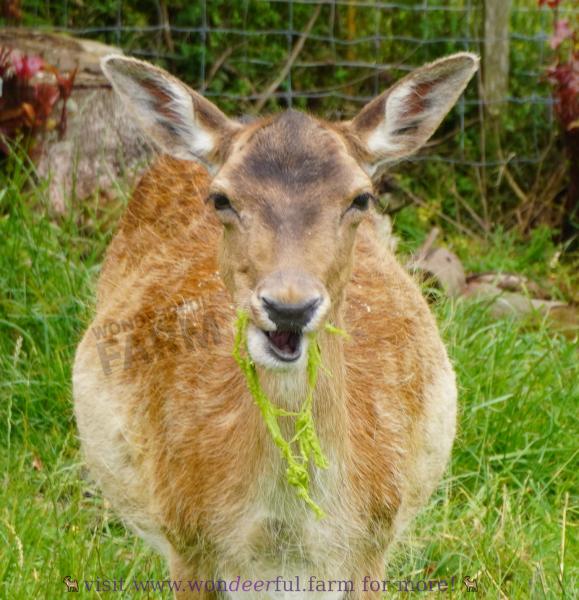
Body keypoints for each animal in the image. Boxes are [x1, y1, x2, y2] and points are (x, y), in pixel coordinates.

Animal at [72, 52, 478, 600]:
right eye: (221, 199)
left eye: (361, 198)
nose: (289, 306)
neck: (288, 548)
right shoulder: (184, 542)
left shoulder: (376, 543)